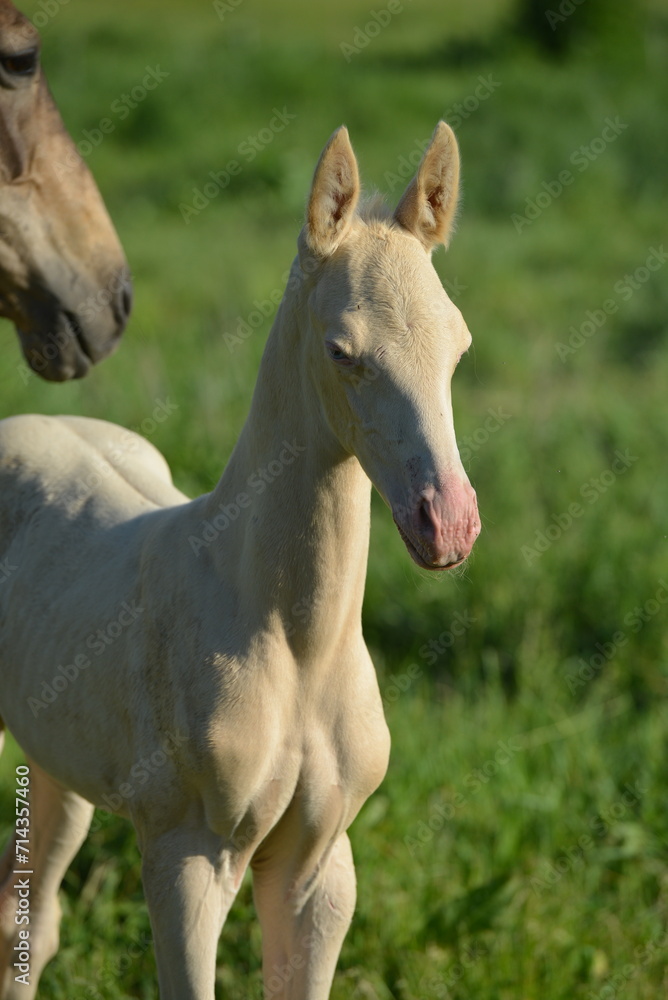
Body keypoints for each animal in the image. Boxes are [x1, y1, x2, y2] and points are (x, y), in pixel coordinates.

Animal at [0, 121, 480, 996]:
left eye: (459, 345)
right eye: (342, 351)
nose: (448, 524)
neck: (295, 645)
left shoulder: (320, 870)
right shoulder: (187, 857)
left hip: (58, 760)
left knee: (27, 920)